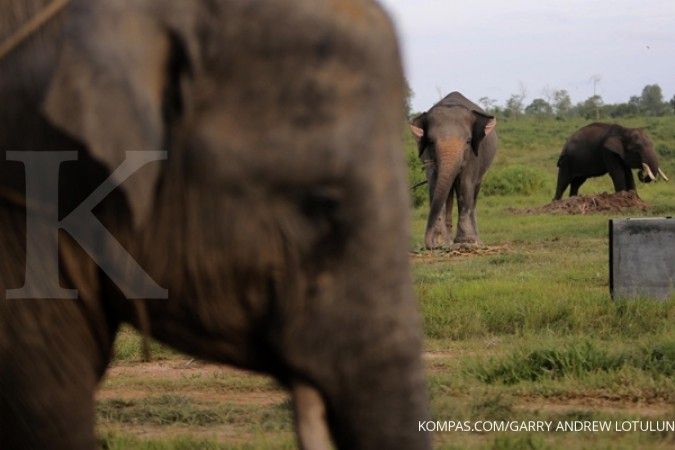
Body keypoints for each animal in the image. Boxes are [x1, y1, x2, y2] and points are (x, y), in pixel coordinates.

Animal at [410, 92, 500, 250]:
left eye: (468, 141)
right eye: (431, 142)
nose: (430, 244)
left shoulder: (473, 156)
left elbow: (465, 184)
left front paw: (466, 241)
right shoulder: (427, 154)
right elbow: (434, 184)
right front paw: (441, 242)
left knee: (474, 194)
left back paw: (477, 241)